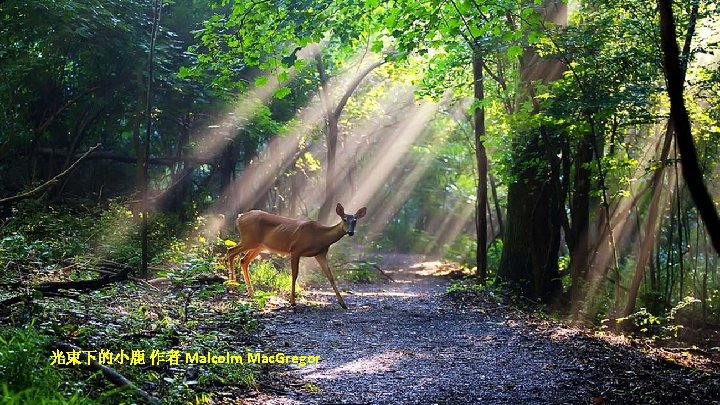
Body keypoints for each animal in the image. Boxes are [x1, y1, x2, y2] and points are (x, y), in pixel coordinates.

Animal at [226, 203, 367, 309]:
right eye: (344, 219)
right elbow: (294, 274)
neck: (320, 236)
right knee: (231, 251)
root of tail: (239, 218)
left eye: (355, 221)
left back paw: (251, 293)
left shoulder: (320, 254)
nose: (350, 232)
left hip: (259, 245)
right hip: (249, 239)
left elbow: (330, 276)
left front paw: (343, 303)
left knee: (243, 260)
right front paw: (292, 301)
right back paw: (231, 286)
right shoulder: (296, 249)